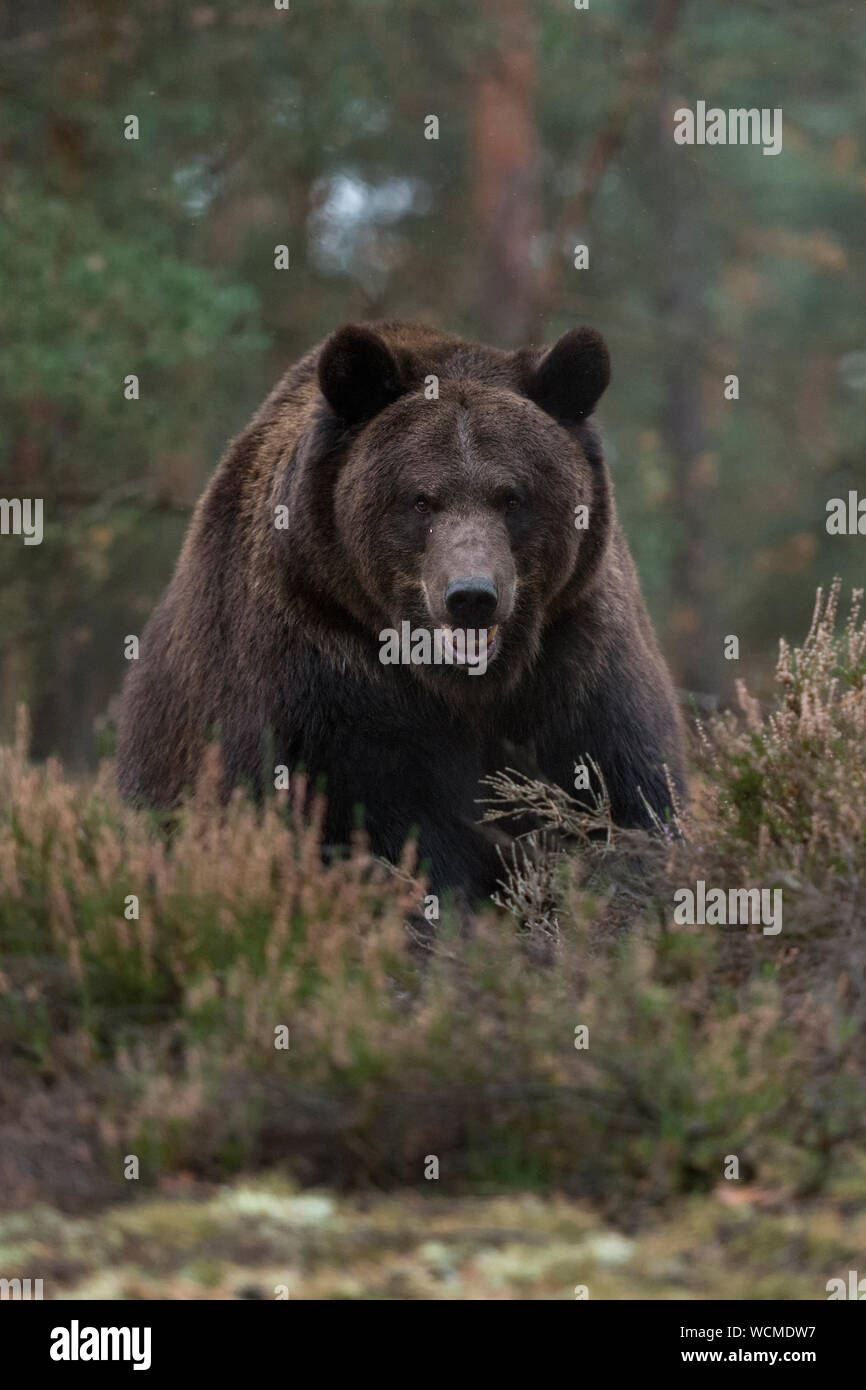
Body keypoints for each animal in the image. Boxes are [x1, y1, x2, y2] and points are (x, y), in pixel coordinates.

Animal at [116, 319, 683, 895]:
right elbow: (377, 828)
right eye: (421, 499)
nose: (472, 596)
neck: (467, 687)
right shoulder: (321, 676)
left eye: (513, 497)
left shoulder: (576, 662)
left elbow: (625, 792)